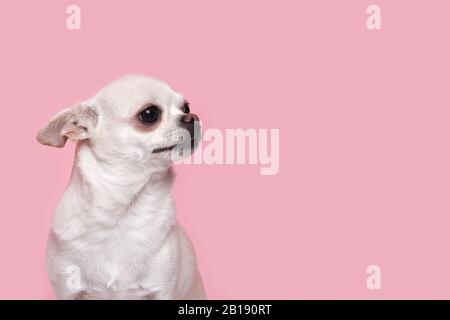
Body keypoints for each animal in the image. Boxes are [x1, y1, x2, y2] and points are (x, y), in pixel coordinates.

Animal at [37, 75, 206, 300]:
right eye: (149, 114)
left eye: (186, 107)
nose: (192, 117)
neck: (121, 211)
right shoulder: (66, 290)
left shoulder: (163, 291)